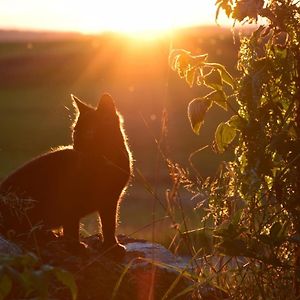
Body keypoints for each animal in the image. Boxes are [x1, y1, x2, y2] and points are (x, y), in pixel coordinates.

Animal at [0, 92, 131, 254]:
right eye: (75, 131)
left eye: (89, 133)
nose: (76, 146)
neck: (103, 162)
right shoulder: (70, 198)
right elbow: (71, 225)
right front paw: (75, 246)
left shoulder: (111, 199)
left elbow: (109, 224)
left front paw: (111, 246)